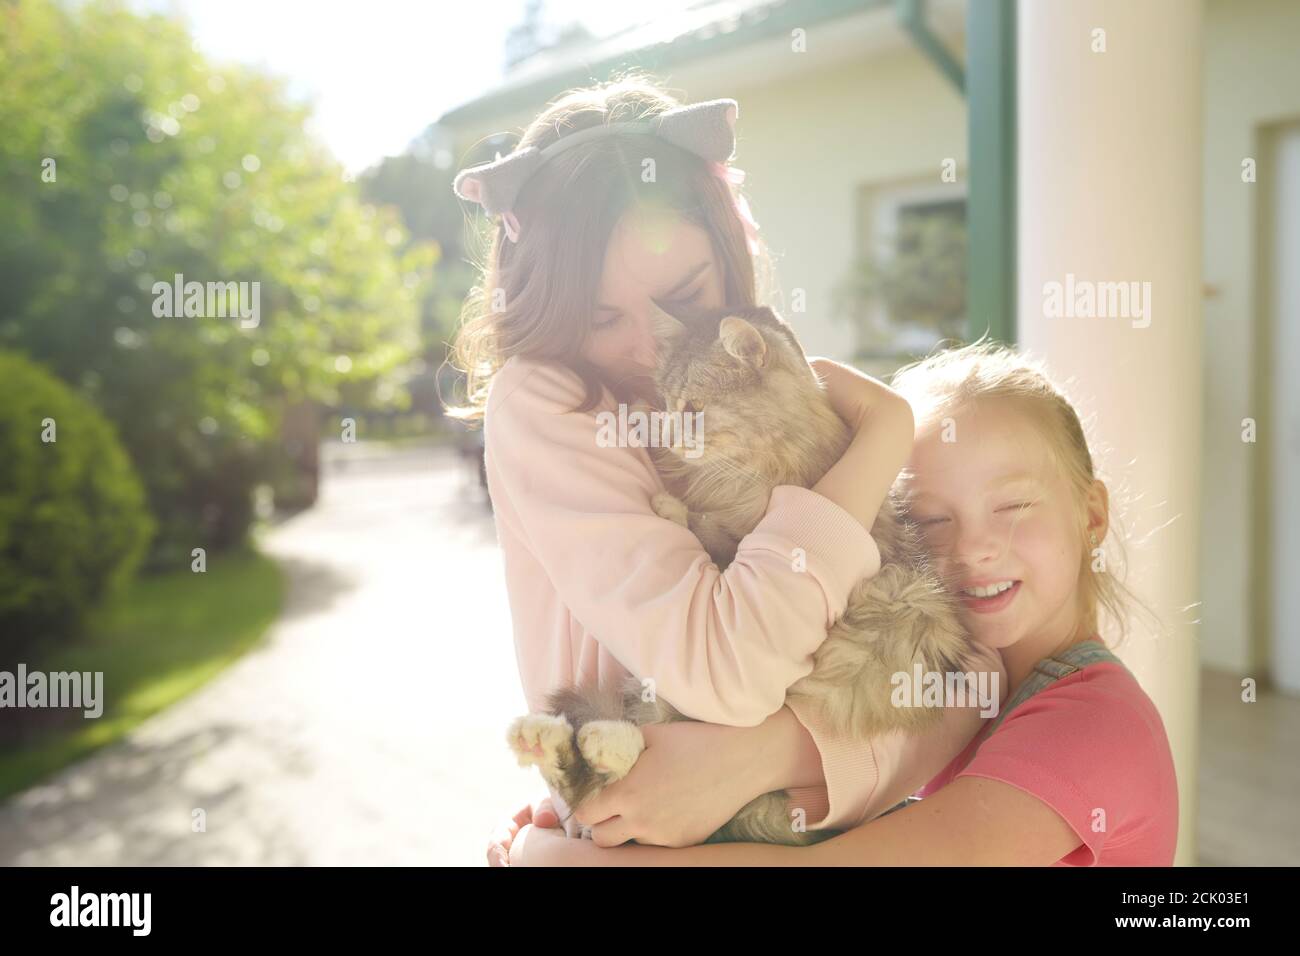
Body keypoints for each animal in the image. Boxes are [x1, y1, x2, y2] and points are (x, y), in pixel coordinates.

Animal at [512, 306, 972, 842]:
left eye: (694, 407)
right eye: (670, 402)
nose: (670, 432)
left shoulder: (749, 543)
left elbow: (714, 541)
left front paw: (672, 505)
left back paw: (588, 741)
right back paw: (546, 736)